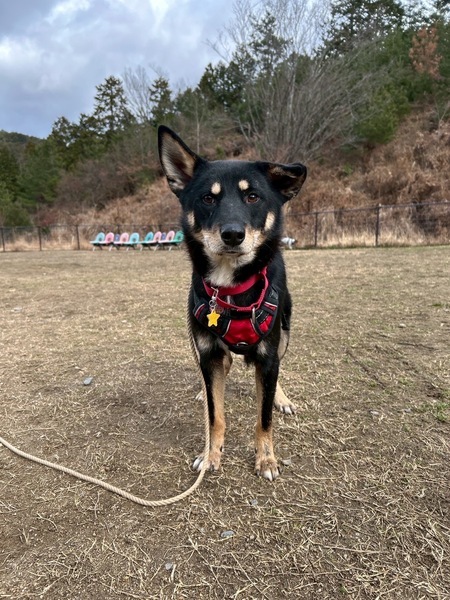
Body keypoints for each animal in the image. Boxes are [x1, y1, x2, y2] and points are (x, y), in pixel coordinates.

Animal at [158, 126, 307, 481]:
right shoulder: (208, 351)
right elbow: (215, 415)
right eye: (208, 198)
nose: (233, 234)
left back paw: (281, 397)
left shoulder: (268, 354)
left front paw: (266, 459)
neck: (230, 288)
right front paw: (211, 455)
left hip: (285, 331)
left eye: (252, 196)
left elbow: (263, 417)